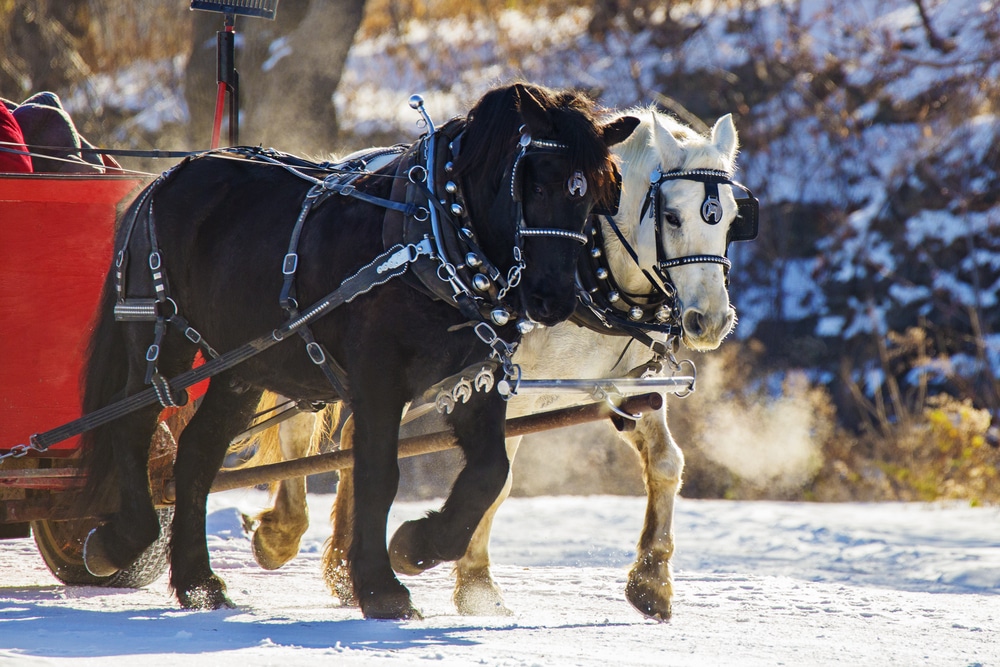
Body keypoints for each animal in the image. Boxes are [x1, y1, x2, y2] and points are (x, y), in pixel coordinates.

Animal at [80, 83, 640, 620]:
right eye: (537, 184)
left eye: (595, 198)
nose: (554, 299)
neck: (432, 237)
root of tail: (165, 179)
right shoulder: (377, 380)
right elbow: (377, 474)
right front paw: (380, 588)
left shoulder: (473, 379)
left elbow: (490, 472)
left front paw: (417, 546)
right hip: (162, 334)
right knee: (133, 423)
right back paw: (120, 541)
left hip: (242, 365)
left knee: (197, 453)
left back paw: (197, 582)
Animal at [244, 109, 756, 620]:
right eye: (671, 216)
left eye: (733, 220)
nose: (710, 320)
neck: (590, 266)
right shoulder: (498, 386)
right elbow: (500, 477)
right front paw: (472, 580)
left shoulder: (622, 387)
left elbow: (667, 462)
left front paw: (652, 579)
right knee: (301, 428)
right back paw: (282, 534)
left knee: (354, 438)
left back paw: (343, 570)